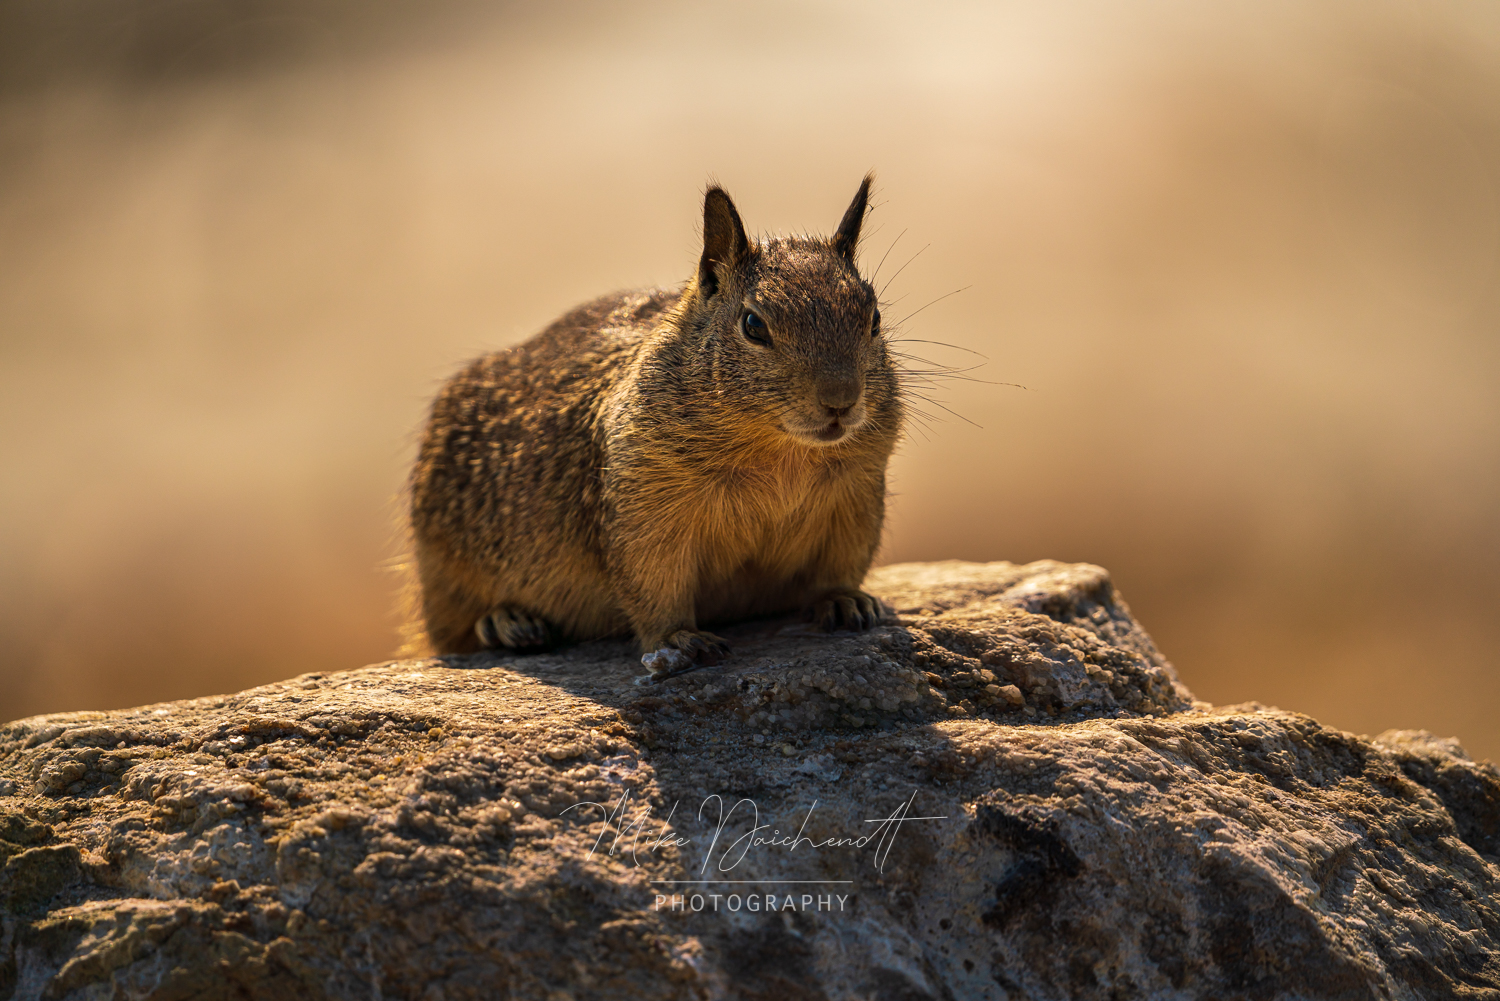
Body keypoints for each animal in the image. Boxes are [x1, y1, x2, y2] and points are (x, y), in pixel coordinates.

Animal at [405, 177, 900, 681]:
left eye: (875, 318)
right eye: (753, 325)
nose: (841, 400)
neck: (781, 452)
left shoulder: (855, 496)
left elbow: (842, 563)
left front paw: (846, 601)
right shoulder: (648, 508)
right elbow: (653, 584)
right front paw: (678, 639)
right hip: (444, 575)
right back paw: (507, 622)